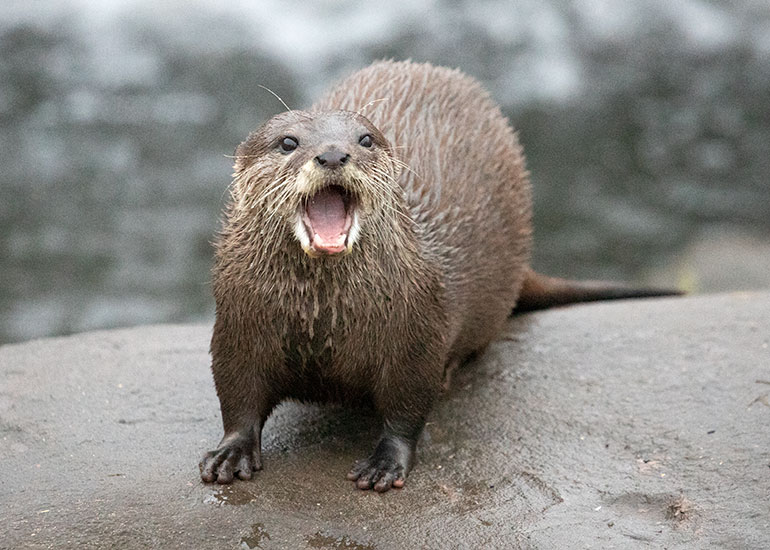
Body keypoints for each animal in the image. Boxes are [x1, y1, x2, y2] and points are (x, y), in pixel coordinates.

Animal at [199, 60, 679, 492]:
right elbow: (237, 393)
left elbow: (408, 404)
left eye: (365, 139)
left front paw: (386, 461)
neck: (322, 322)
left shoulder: (417, 331)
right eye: (287, 142)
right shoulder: (238, 325)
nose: (333, 153)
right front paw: (230, 452)